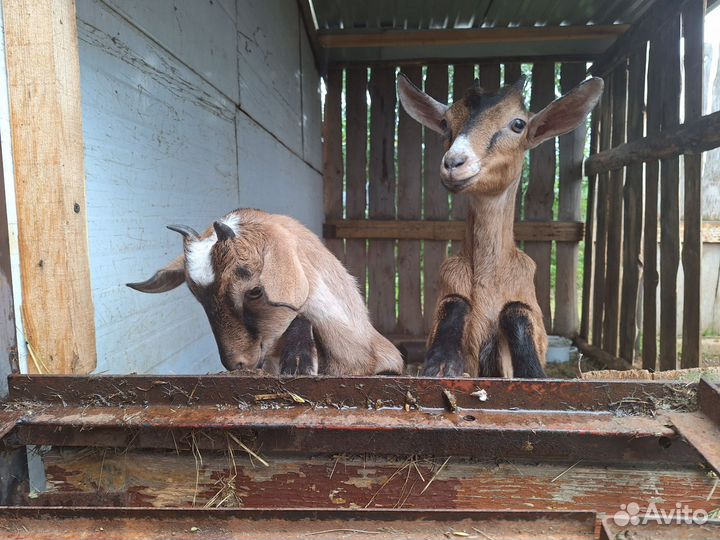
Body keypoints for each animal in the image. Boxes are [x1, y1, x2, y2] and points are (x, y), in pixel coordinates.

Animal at [398, 74, 603, 378]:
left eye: (518, 124)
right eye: (446, 122)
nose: (454, 163)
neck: (489, 283)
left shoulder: (531, 313)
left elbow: (516, 310)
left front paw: (532, 372)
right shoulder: (446, 294)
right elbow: (455, 301)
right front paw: (441, 365)